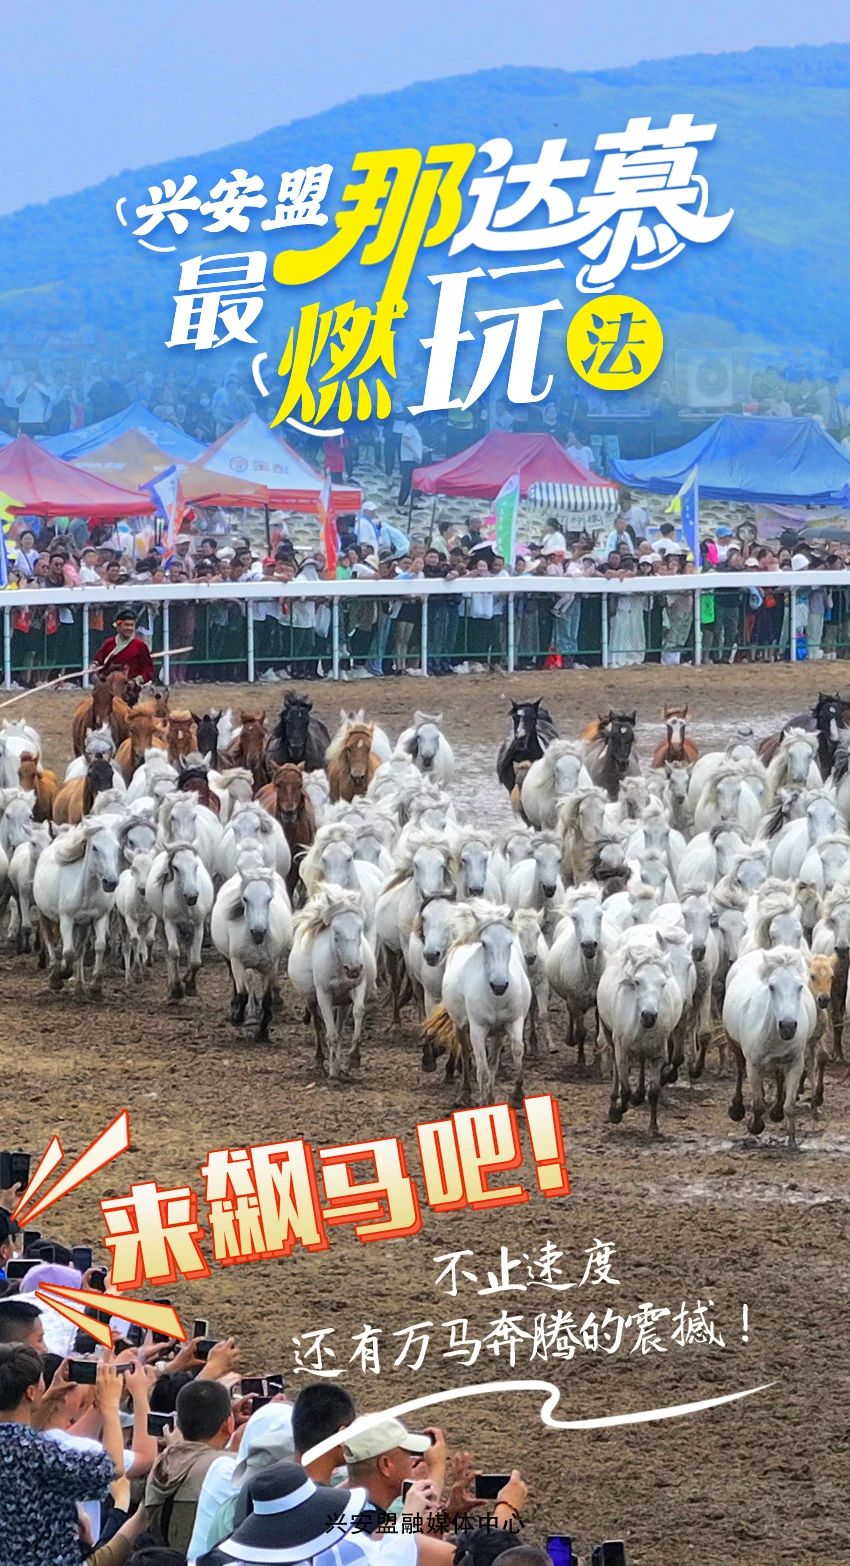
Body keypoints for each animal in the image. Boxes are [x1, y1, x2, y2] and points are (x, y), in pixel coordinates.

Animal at [211, 863, 293, 1041]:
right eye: (245, 899)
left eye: (269, 899)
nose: (258, 932)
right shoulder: (237, 963)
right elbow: (242, 993)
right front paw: (237, 1017)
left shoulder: (270, 966)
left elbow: (266, 999)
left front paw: (262, 1032)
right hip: (229, 959)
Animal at [288, 887, 377, 1080]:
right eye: (336, 933)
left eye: (360, 929)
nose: (354, 968)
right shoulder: (323, 995)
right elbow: (330, 1034)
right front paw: (333, 1072)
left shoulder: (357, 987)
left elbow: (358, 1012)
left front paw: (352, 1059)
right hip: (311, 1000)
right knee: (318, 1025)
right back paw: (321, 1062)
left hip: (343, 1002)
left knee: (340, 1026)